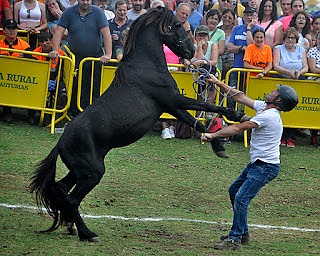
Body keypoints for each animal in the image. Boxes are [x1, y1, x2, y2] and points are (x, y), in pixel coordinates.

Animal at [30, 7, 246, 243]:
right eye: (178, 25)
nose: (191, 51)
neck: (145, 65)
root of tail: (61, 143)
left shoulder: (170, 106)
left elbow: (198, 124)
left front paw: (219, 146)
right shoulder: (173, 100)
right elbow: (208, 106)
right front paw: (237, 114)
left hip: (80, 171)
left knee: (61, 189)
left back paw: (71, 226)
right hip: (92, 173)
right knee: (71, 200)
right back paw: (88, 234)